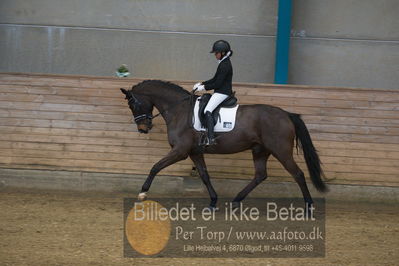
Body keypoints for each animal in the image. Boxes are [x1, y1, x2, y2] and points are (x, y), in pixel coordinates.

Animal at [119, 80, 328, 209]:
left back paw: (309, 207)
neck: (179, 110)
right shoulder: (195, 152)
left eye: (133, 104)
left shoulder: (180, 151)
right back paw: (235, 201)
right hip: (260, 150)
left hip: (281, 151)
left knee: (298, 174)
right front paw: (213, 201)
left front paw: (142, 193)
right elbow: (204, 175)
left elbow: (155, 167)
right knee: (260, 175)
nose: (143, 129)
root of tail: (286, 114)